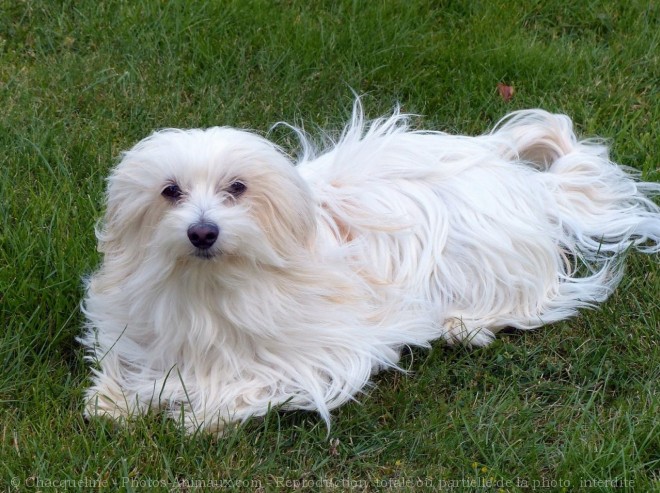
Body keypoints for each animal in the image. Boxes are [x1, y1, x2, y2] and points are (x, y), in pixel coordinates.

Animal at [82, 103, 660, 430]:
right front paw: (116, 399)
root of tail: (530, 183)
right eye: (170, 191)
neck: (211, 286)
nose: (203, 231)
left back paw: (467, 325)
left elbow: (255, 383)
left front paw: (198, 409)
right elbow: (133, 364)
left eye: (238, 188)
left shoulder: (328, 350)